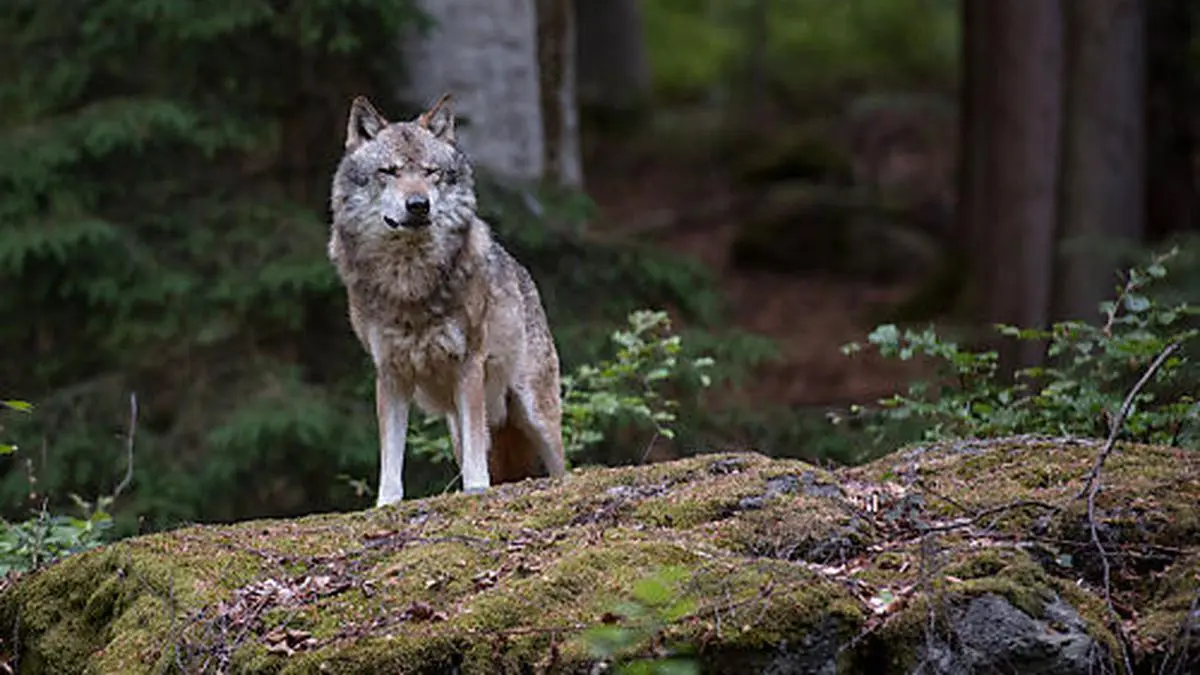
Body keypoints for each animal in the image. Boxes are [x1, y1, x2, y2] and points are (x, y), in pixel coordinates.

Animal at [328, 93, 566, 506]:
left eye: (430, 172)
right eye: (389, 172)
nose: (418, 204)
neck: (409, 280)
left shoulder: (468, 364)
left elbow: (474, 457)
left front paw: (476, 490)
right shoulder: (389, 374)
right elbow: (391, 454)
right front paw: (386, 504)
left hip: (534, 410)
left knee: (562, 466)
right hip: (458, 423)